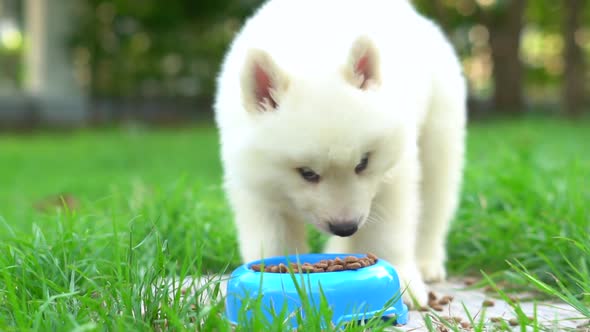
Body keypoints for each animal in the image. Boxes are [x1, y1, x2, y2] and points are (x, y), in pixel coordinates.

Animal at [213, 0, 468, 308]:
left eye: (363, 162)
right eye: (307, 173)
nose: (346, 227)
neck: (312, 51)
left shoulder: (394, 173)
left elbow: (389, 230)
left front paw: (403, 283)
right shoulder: (254, 181)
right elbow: (272, 236)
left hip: (439, 134)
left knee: (435, 202)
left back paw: (427, 262)